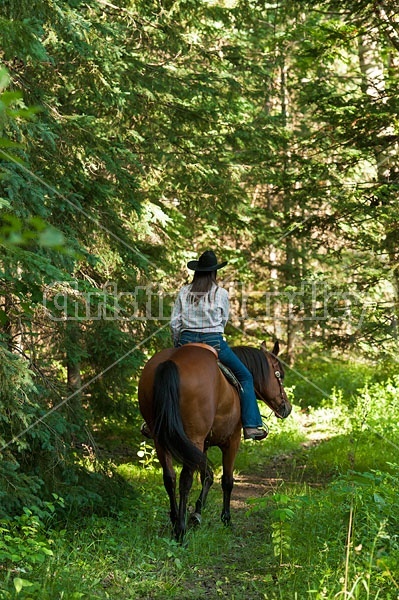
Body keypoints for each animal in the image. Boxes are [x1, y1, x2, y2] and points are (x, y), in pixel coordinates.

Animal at [139, 340, 292, 540]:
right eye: (279, 374)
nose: (286, 407)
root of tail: (171, 362)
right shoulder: (232, 441)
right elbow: (227, 480)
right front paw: (226, 519)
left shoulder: (202, 445)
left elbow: (207, 476)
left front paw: (196, 514)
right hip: (193, 438)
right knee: (185, 481)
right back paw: (181, 531)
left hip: (162, 439)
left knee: (169, 478)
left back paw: (175, 521)